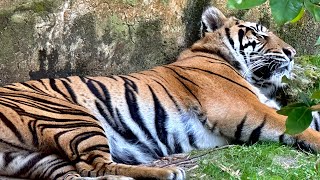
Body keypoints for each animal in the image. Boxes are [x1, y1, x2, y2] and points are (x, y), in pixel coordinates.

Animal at [0, 5, 320, 180]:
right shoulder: (245, 107)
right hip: (71, 115)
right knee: (94, 165)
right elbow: (303, 130)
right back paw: (168, 173)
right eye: (259, 33)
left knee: (79, 173)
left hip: (32, 157)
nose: (292, 53)